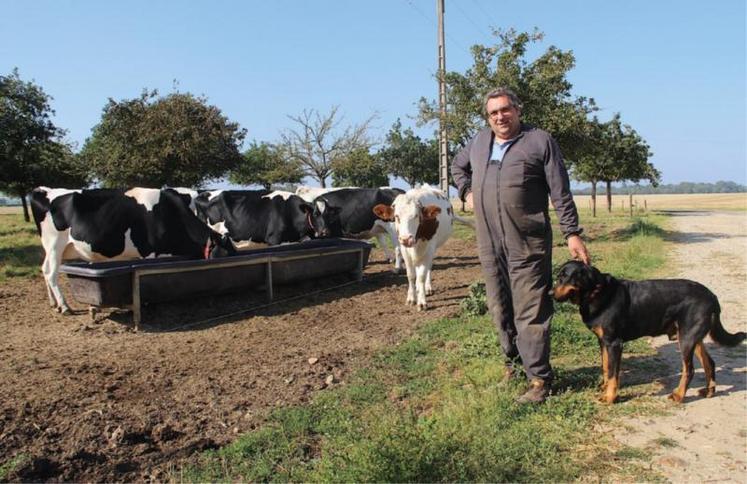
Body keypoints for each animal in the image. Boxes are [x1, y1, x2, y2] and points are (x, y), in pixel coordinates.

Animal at [30, 185, 235, 314]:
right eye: (226, 254)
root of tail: (44, 190)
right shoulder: (151, 253)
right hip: (55, 244)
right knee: (51, 273)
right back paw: (64, 306)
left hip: (52, 248)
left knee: (44, 269)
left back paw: (53, 303)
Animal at [548, 260, 747, 404]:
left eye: (564, 277)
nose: (549, 293)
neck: (595, 292)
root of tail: (712, 296)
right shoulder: (603, 341)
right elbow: (606, 367)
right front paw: (604, 388)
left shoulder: (614, 343)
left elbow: (613, 373)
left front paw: (610, 397)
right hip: (692, 336)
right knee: (709, 363)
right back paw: (709, 391)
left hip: (686, 339)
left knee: (689, 370)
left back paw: (678, 396)